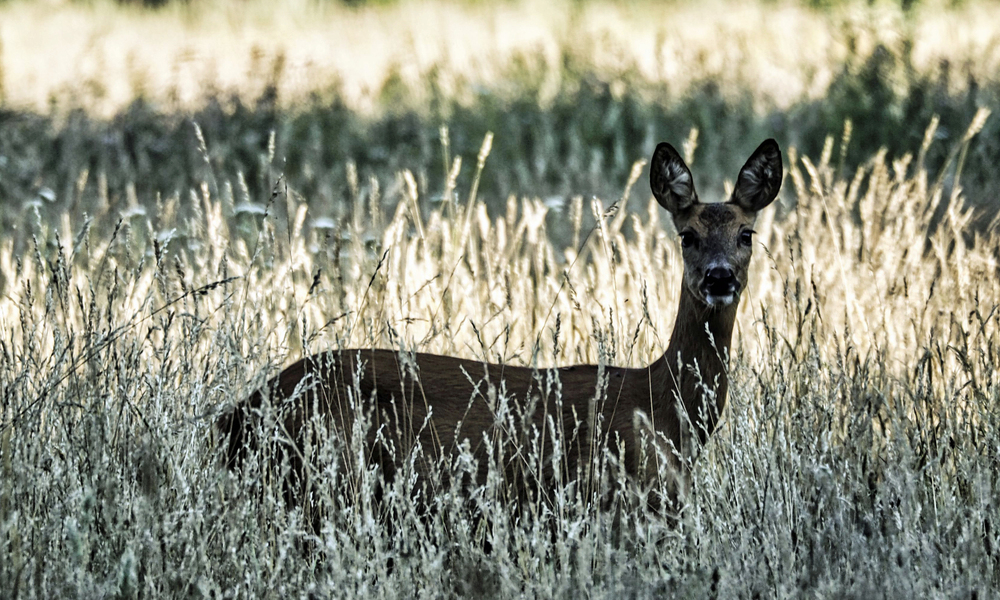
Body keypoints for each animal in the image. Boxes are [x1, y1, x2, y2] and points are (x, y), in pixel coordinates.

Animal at [219, 139, 780, 510]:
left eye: (746, 233)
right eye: (687, 235)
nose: (720, 276)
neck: (663, 408)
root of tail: (236, 413)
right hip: (322, 477)